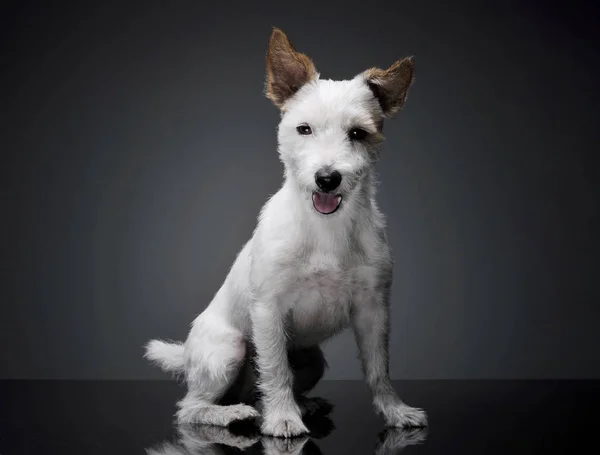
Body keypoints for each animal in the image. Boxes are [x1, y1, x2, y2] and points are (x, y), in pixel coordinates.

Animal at [145, 26, 426, 440]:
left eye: (358, 133)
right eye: (303, 129)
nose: (327, 178)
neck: (325, 228)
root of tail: (188, 356)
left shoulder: (374, 311)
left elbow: (379, 369)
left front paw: (394, 410)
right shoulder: (268, 310)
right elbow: (275, 369)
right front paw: (282, 419)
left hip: (313, 359)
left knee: (264, 387)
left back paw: (299, 404)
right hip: (229, 350)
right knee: (192, 408)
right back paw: (234, 414)